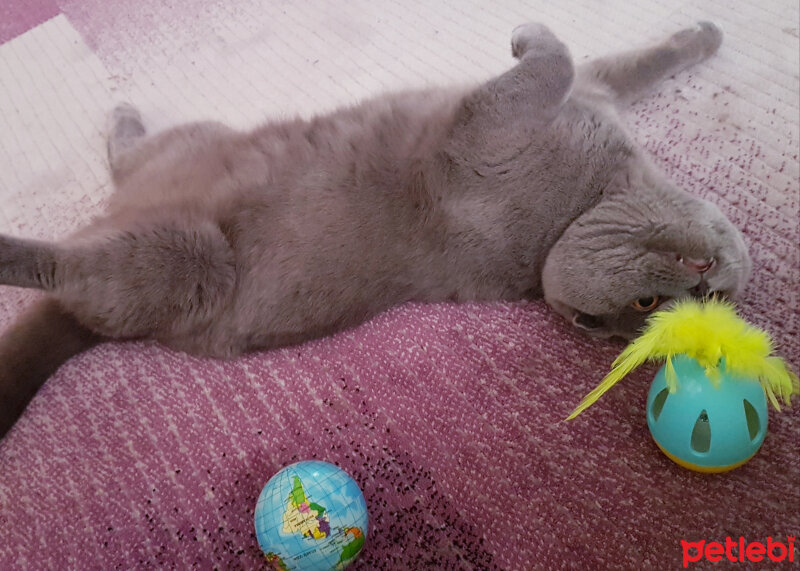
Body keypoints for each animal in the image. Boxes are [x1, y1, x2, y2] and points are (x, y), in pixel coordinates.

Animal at [0, 20, 752, 436]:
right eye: (650, 302)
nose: (703, 277)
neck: (585, 201)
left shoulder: (485, 126)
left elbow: (555, 60)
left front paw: (527, 37)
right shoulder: (582, 95)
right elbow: (616, 62)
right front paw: (704, 36)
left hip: (184, 260)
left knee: (67, 266)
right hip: (195, 142)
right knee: (121, 158)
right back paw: (122, 114)